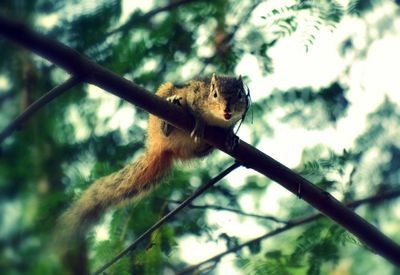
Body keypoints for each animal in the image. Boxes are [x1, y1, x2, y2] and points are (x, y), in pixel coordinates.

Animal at [55, 73, 250, 248]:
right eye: (214, 94)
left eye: (240, 95)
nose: (227, 110)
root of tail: (161, 148)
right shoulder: (194, 94)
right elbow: (196, 111)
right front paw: (200, 123)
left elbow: (230, 128)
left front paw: (231, 135)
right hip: (162, 105)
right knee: (166, 124)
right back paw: (169, 119)